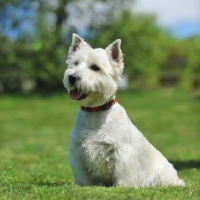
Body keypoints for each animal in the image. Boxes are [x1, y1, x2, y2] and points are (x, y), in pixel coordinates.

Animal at [63, 33, 185, 188]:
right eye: (75, 63)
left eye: (95, 68)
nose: (72, 77)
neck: (95, 112)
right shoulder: (78, 150)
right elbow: (82, 174)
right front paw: (82, 186)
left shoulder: (122, 151)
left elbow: (122, 172)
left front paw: (122, 187)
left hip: (163, 175)